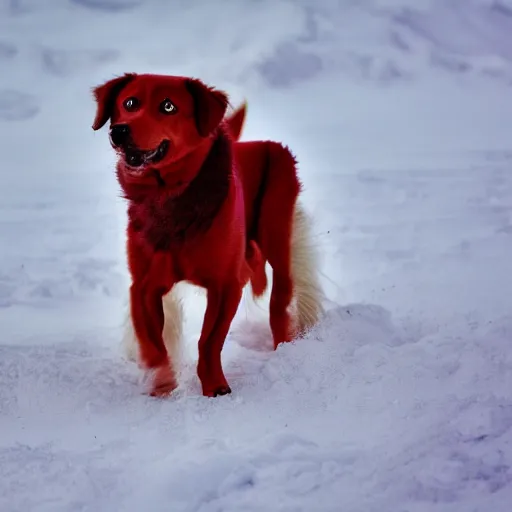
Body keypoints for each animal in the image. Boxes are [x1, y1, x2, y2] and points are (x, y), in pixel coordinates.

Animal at [91, 74, 322, 398]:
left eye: (168, 106)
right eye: (130, 103)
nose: (119, 131)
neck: (169, 198)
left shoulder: (225, 285)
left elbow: (209, 340)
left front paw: (215, 386)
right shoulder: (145, 286)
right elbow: (153, 343)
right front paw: (162, 382)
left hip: (278, 234)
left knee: (281, 298)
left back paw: (285, 347)